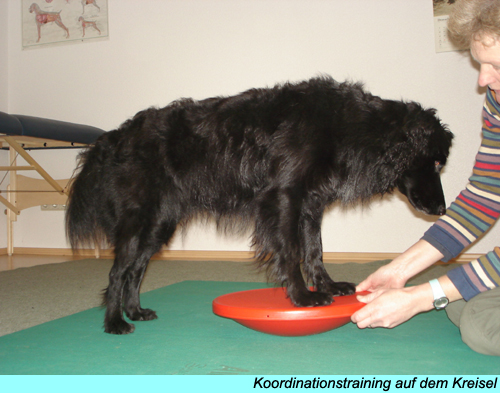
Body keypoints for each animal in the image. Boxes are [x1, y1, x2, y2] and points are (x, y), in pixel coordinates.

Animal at [66, 76, 454, 334]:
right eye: (435, 163)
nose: (442, 210)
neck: (346, 124)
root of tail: (116, 136)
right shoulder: (284, 197)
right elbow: (292, 252)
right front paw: (302, 297)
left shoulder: (310, 204)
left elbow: (314, 251)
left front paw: (326, 286)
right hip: (139, 220)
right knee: (118, 272)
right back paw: (114, 322)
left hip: (159, 223)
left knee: (135, 270)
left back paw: (135, 311)